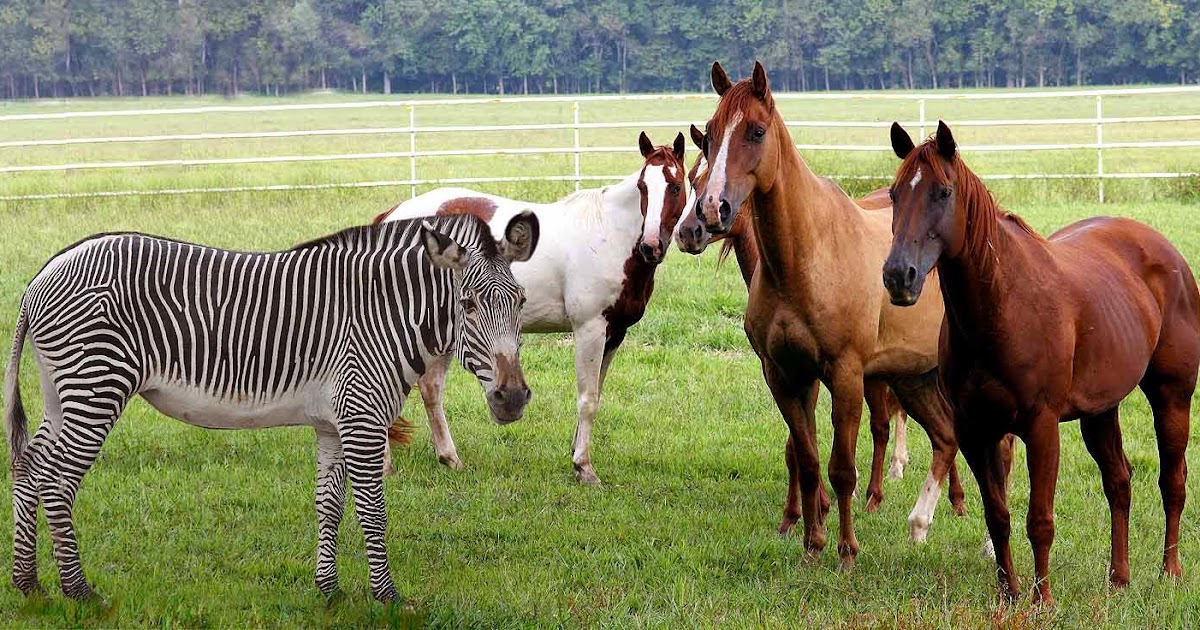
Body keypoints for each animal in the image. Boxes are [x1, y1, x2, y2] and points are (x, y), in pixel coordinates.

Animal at [4, 212, 539, 603]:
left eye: (521, 301)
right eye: (467, 305)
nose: (512, 398)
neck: (382, 314)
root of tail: (43, 274)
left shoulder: (332, 423)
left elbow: (329, 506)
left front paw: (328, 591)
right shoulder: (362, 417)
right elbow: (372, 509)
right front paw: (386, 597)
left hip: (61, 390)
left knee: (30, 467)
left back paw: (28, 584)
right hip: (96, 386)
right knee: (57, 480)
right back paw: (77, 590)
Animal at [376, 132, 689, 485]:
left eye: (675, 186)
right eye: (643, 186)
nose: (651, 246)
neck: (610, 233)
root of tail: (392, 217)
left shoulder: (615, 334)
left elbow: (595, 393)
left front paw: (576, 452)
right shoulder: (590, 329)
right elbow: (587, 399)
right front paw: (584, 468)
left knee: (431, 388)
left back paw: (449, 458)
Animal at [693, 61, 964, 570]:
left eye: (756, 130)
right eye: (711, 134)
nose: (710, 211)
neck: (803, 257)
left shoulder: (845, 374)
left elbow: (842, 469)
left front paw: (846, 552)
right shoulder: (784, 375)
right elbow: (807, 458)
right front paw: (811, 543)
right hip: (915, 377)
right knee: (947, 437)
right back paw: (923, 525)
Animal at [884, 121, 1199, 605]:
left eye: (943, 192)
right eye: (895, 194)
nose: (900, 276)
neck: (1002, 306)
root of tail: (1166, 251)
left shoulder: (1041, 426)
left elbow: (1040, 520)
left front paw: (1042, 600)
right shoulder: (975, 431)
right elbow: (998, 514)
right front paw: (1010, 595)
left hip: (1172, 397)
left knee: (1173, 481)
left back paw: (1169, 571)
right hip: (1100, 411)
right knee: (1119, 482)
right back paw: (1119, 577)